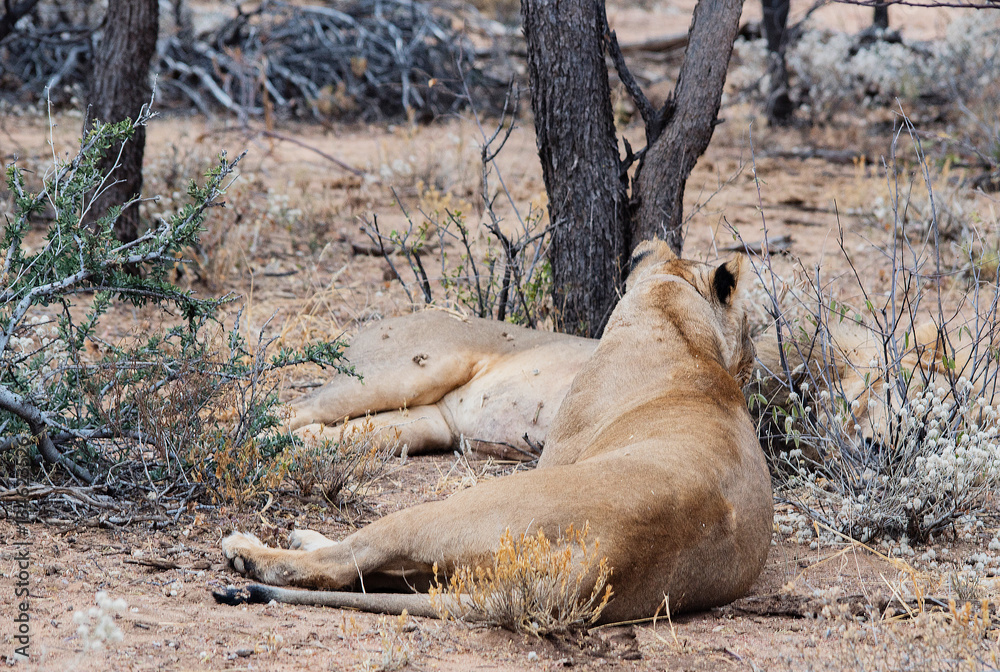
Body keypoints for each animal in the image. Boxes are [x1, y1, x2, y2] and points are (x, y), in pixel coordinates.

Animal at [217, 240, 774, 622]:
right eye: (752, 325)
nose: (752, 363)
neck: (679, 325)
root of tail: (596, 563)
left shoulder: (557, 450)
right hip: (404, 380)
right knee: (293, 416)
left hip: (439, 492)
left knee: (348, 555)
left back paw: (250, 548)